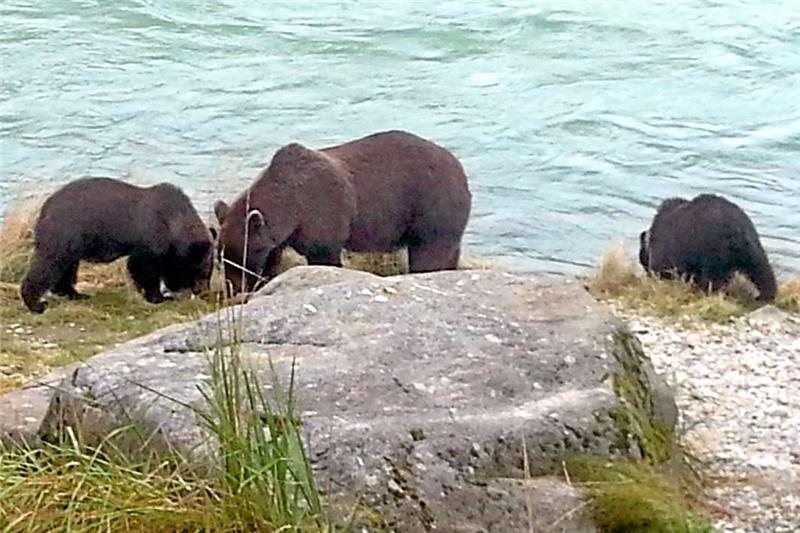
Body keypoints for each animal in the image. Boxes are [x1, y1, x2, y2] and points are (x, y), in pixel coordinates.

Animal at [20, 177, 216, 313]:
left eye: (208, 271)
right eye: (201, 272)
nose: (205, 293)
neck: (173, 222)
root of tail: (45, 208)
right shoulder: (150, 238)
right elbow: (143, 267)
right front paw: (158, 296)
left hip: (72, 243)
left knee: (66, 267)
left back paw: (76, 294)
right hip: (64, 233)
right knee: (48, 264)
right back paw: (36, 303)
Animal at [213, 130, 472, 294]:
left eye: (242, 256)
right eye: (221, 256)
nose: (233, 288)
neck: (292, 207)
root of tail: (458, 165)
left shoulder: (323, 211)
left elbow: (324, 256)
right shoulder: (282, 236)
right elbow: (274, 258)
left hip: (430, 205)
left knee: (429, 252)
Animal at [638, 193, 777, 302]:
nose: (648, 275)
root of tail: (737, 230)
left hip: (713, 250)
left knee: (713, 278)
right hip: (752, 246)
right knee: (762, 269)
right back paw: (765, 295)